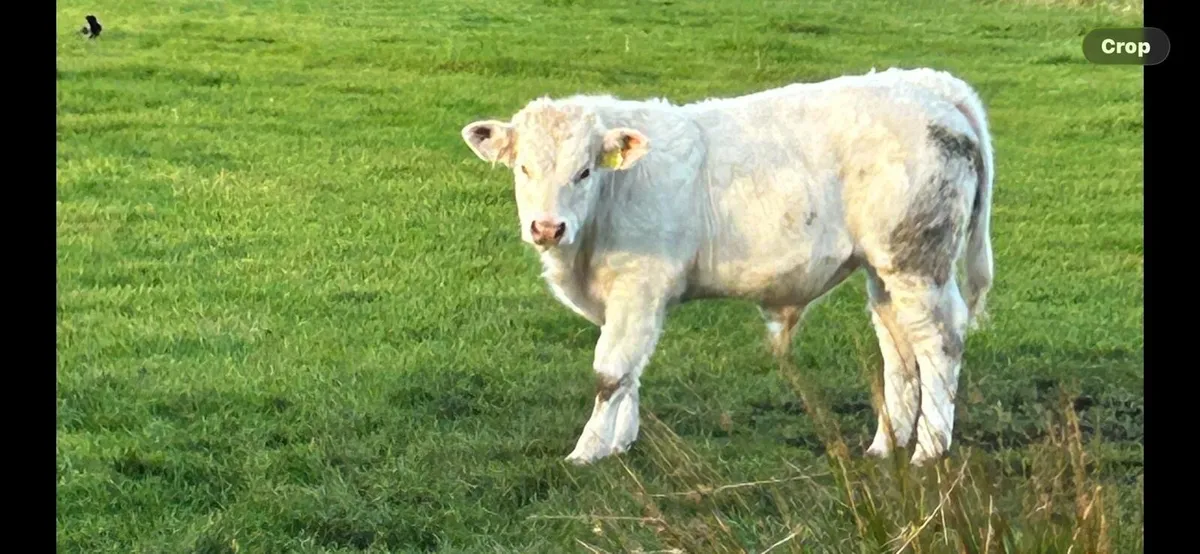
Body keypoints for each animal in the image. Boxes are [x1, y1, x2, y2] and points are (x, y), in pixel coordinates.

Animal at [459, 67, 995, 467]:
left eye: (585, 171)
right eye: (523, 168)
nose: (547, 227)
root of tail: (928, 87)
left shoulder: (638, 287)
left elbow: (611, 371)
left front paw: (588, 451)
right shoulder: (629, 301)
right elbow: (631, 370)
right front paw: (621, 443)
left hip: (918, 262)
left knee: (940, 341)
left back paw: (928, 451)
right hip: (884, 270)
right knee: (899, 347)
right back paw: (886, 445)